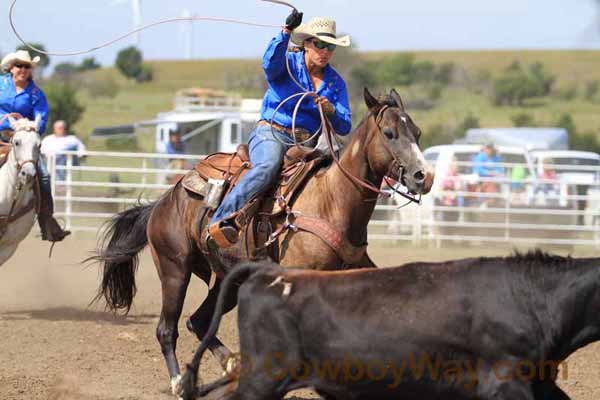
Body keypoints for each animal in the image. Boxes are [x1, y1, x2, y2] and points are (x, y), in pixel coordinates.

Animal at [91, 87, 434, 394]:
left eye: (417, 132)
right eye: (389, 133)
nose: (424, 176)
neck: (333, 200)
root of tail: (165, 200)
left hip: (227, 279)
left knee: (198, 322)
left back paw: (232, 365)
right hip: (174, 269)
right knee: (167, 328)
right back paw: (179, 381)